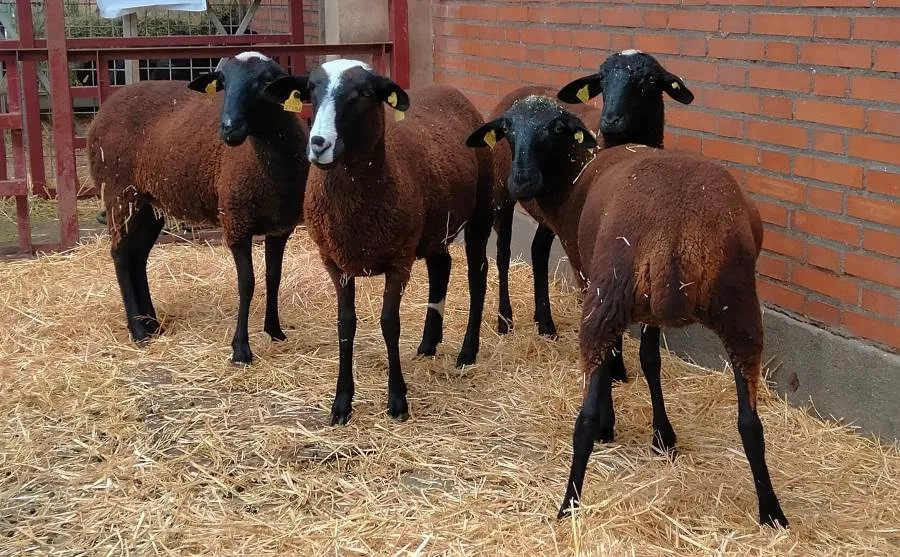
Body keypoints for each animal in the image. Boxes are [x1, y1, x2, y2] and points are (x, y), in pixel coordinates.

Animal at [87, 51, 310, 365]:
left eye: (267, 81)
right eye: (224, 82)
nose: (228, 128)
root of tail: (107, 105)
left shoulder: (281, 226)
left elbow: (273, 276)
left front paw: (275, 331)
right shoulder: (235, 221)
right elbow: (247, 283)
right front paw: (241, 349)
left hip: (148, 202)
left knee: (137, 256)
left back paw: (152, 323)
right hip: (120, 193)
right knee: (120, 254)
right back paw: (138, 331)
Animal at [264, 60, 493, 425]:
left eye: (363, 94)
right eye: (311, 89)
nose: (318, 144)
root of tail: (449, 90)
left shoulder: (398, 261)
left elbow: (389, 324)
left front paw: (397, 400)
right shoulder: (335, 261)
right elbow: (346, 324)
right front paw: (342, 403)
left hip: (482, 211)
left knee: (477, 277)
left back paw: (467, 352)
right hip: (433, 227)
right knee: (441, 267)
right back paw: (428, 345)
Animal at [466, 102, 786, 527]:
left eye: (554, 129)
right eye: (508, 132)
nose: (521, 181)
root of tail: (678, 233)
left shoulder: (587, 275)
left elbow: (613, 366)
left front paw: (610, 423)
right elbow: (650, 361)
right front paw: (662, 435)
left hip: (607, 296)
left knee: (582, 417)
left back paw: (569, 504)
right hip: (740, 308)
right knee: (750, 422)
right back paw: (772, 512)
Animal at [491, 50, 694, 386]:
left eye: (650, 80)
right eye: (601, 80)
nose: (610, 121)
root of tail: (521, 91)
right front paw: (616, 370)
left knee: (538, 250)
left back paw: (545, 323)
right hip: (501, 194)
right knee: (503, 252)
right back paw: (505, 320)